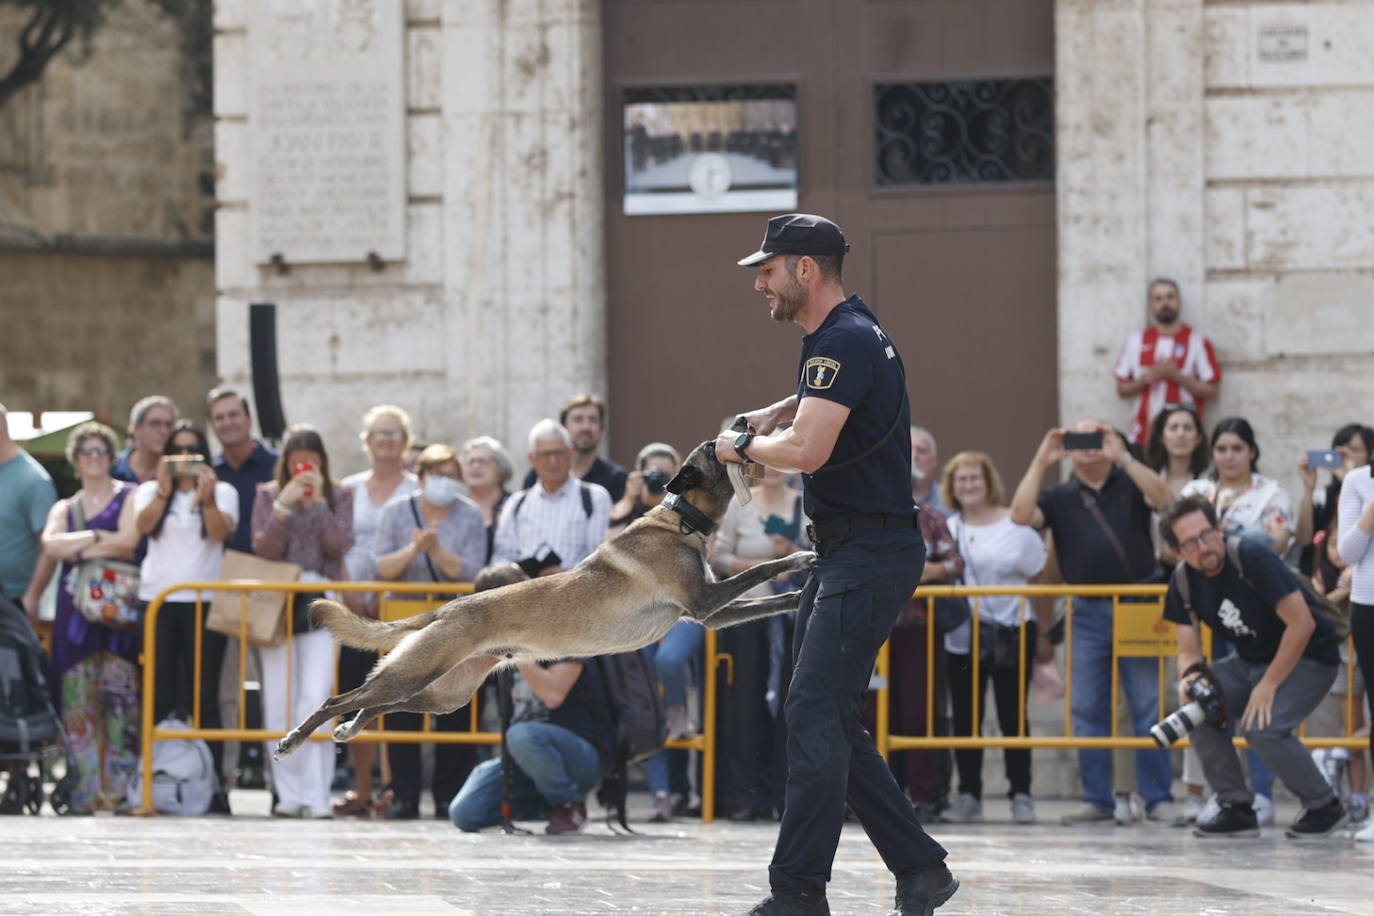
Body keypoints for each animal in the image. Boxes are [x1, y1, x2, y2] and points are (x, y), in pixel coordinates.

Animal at [274, 436, 813, 758]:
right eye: (713, 448)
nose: (744, 425)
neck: (679, 519)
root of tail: (448, 606)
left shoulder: (710, 615)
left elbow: (767, 602)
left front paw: (798, 594)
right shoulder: (705, 601)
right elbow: (763, 567)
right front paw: (803, 557)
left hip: (444, 692)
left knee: (378, 705)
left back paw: (348, 730)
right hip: (417, 671)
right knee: (339, 698)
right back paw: (294, 737)